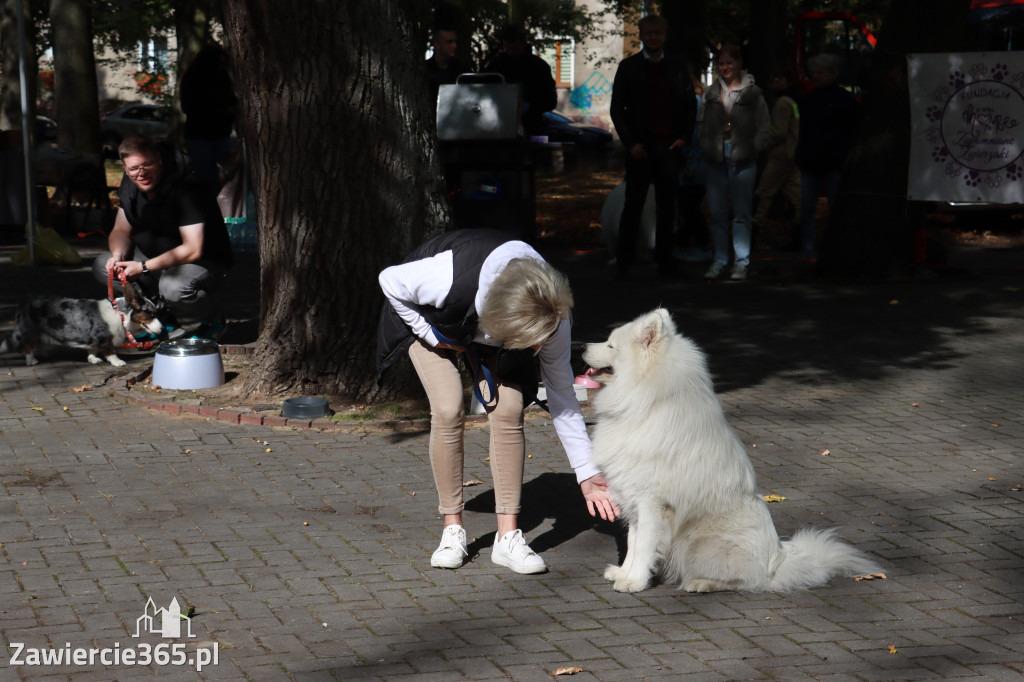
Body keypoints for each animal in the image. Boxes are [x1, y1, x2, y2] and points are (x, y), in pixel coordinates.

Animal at [585, 307, 880, 589]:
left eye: (610, 345)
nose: (582, 347)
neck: (647, 402)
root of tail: (778, 563)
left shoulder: (652, 502)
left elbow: (644, 546)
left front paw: (634, 582)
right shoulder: (634, 498)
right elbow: (633, 541)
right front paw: (623, 573)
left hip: (699, 543)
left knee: (749, 581)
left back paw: (702, 583)